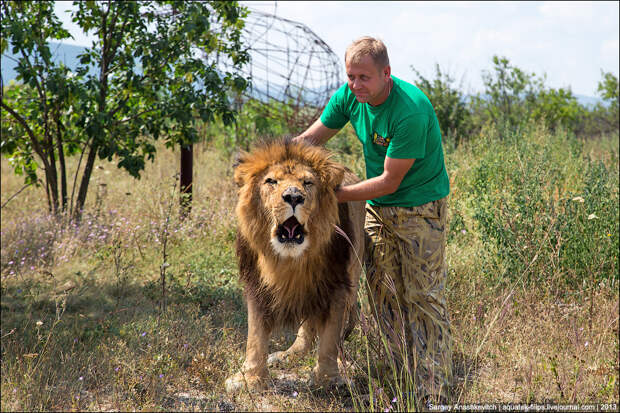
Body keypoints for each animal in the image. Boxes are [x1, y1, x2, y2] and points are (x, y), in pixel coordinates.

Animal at [225, 139, 366, 392]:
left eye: (308, 183)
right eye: (271, 181)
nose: (293, 197)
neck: (289, 260)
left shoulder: (337, 283)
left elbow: (331, 335)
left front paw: (328, 380)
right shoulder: (256, 285)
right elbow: (255, 334)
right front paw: (250, 378)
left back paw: (343, 364)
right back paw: (289, 354)